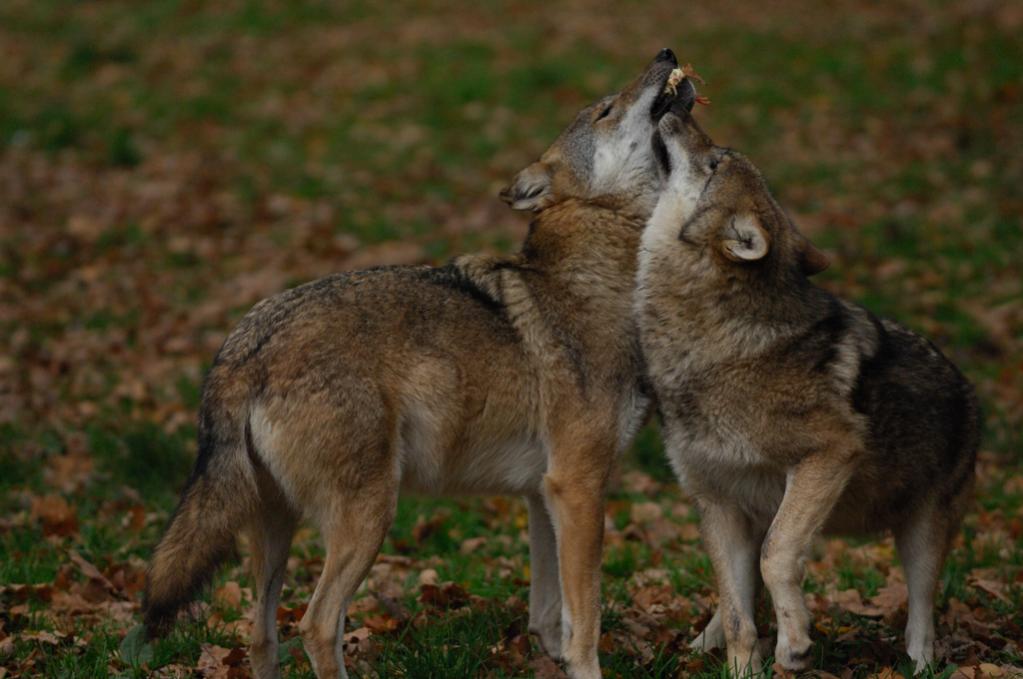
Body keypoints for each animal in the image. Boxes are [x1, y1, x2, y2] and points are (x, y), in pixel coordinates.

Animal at [144, 48, 692, 679]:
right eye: (605, 109)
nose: (667, 54)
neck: (596, 280)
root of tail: (243, 346)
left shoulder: (542, 495)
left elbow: (549, 618)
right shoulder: (578, 486)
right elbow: (587, 624)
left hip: (276, 528)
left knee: (261, 633)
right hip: (370, 516)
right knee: (317, 624)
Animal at [635, 103, 978, 674]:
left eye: (714, 162)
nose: (675, 109)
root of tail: (968, 385)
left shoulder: (830, 454)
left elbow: (778, 556)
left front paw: (794, 643)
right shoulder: (717, 503)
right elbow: (738, 613)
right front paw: (742, 669)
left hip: (922, 534)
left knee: (922, 617)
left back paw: (919, 664)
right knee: (732, 600)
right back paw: (703, 642)